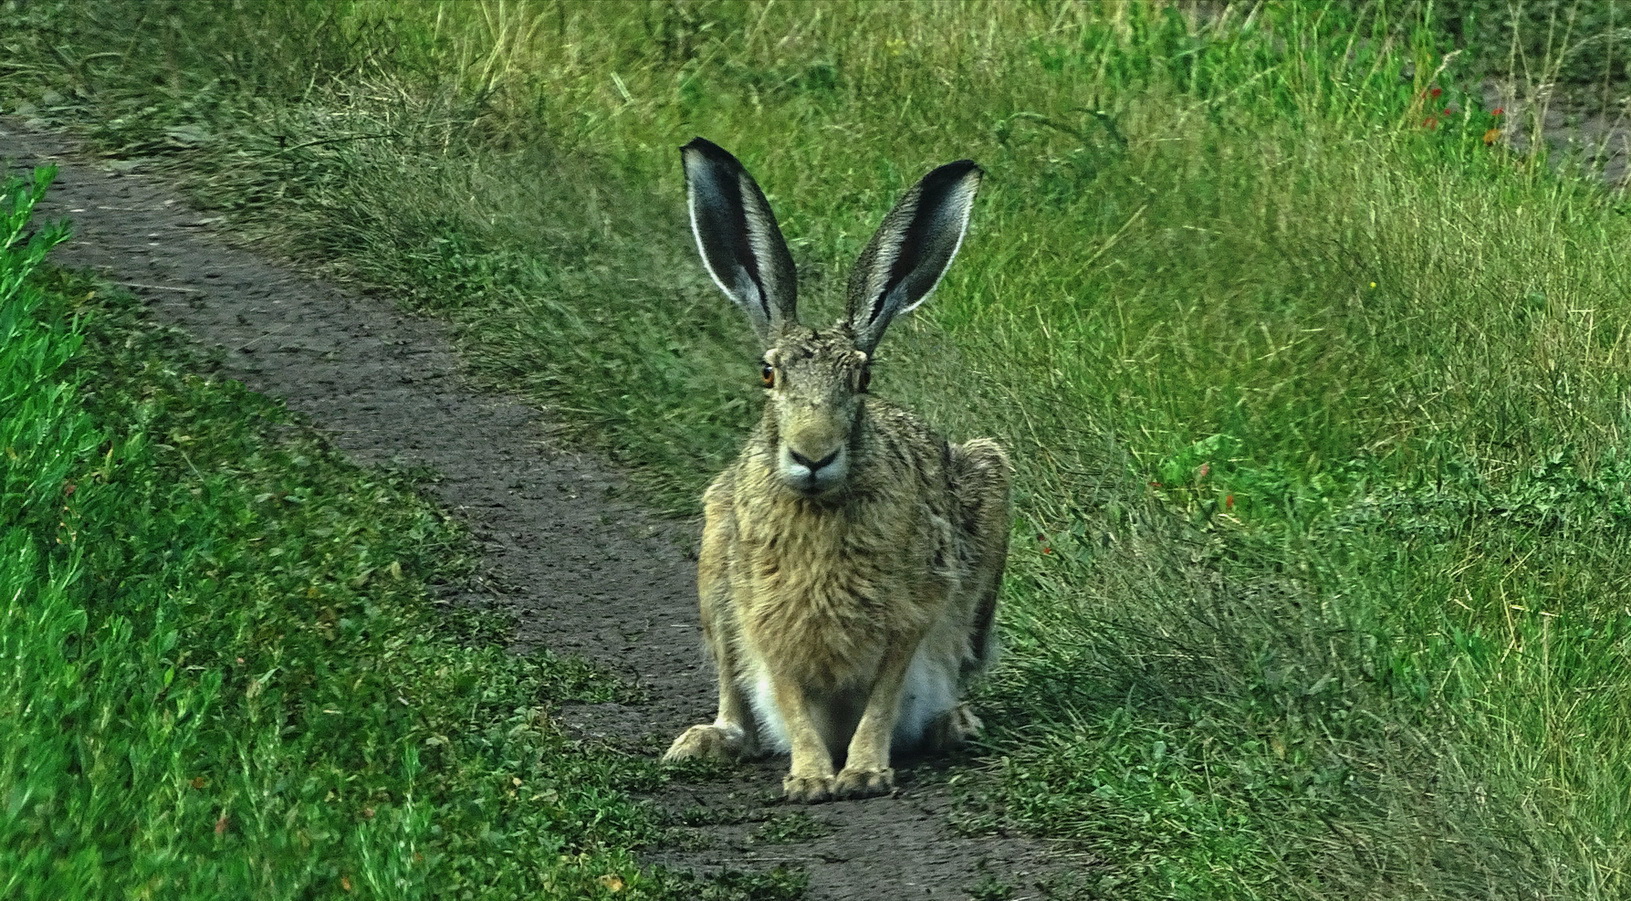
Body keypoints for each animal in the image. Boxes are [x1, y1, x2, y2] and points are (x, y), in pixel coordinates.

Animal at [661, 138, 1011, 803]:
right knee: (735, 699)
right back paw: (706, 741)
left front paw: (865, 772)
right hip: (713, 565)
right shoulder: (764, 617)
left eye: (863, 378)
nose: (813, 454)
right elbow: (789, 696)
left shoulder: (911, 612)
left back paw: (954, 724)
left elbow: (883, 696)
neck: (820, 507)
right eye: (768, 374)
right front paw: (809, 778)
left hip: (990, 490)